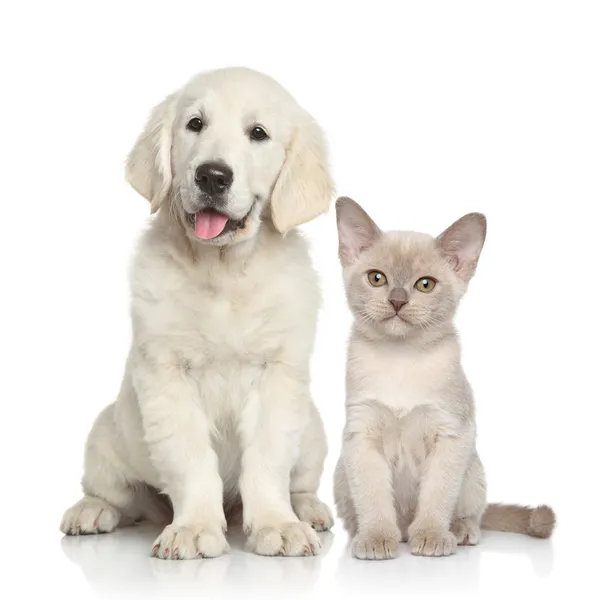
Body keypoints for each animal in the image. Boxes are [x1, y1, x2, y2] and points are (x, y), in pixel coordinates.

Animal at [62, 68, 338, 560]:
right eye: (195, 124)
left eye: (258, 133)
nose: (212, 175)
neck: (223, 271)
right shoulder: (165, 375)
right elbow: (191, 459)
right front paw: (193, 528)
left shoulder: (278, 374)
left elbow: (267, 459)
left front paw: (277, 524)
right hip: (106, 437)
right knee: (113, 494)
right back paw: (91, 511)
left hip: (313, 433)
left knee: (300, 479)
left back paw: (306, 509)